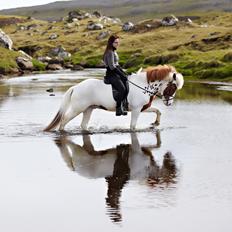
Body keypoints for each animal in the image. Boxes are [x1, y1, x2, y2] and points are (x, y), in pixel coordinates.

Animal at [44, 64, 184, 131]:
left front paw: (156, 123)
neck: (144, 85)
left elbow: (157, 111)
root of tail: (76, 87)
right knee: (64, 120)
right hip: (77, 109)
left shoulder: (142, 108)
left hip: (88, 109)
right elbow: (133, 126)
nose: (169, 103)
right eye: (173, 87)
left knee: (83, 125)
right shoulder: (136, 110)